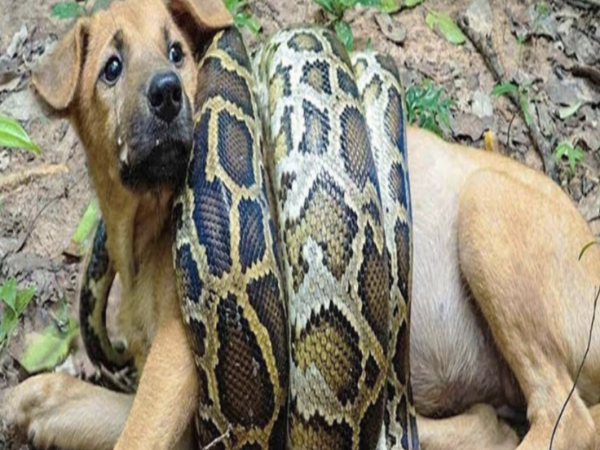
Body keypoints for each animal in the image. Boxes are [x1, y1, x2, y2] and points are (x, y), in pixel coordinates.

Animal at [3, 0, 600, 450]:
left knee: (567, 418)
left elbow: (139, 430)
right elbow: (54, 396)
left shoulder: (175, 362)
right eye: (111, 67)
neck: (139, 231)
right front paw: (22, 403)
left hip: (485, 212)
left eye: (177, 51)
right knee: (489, 425)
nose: (168, 91)